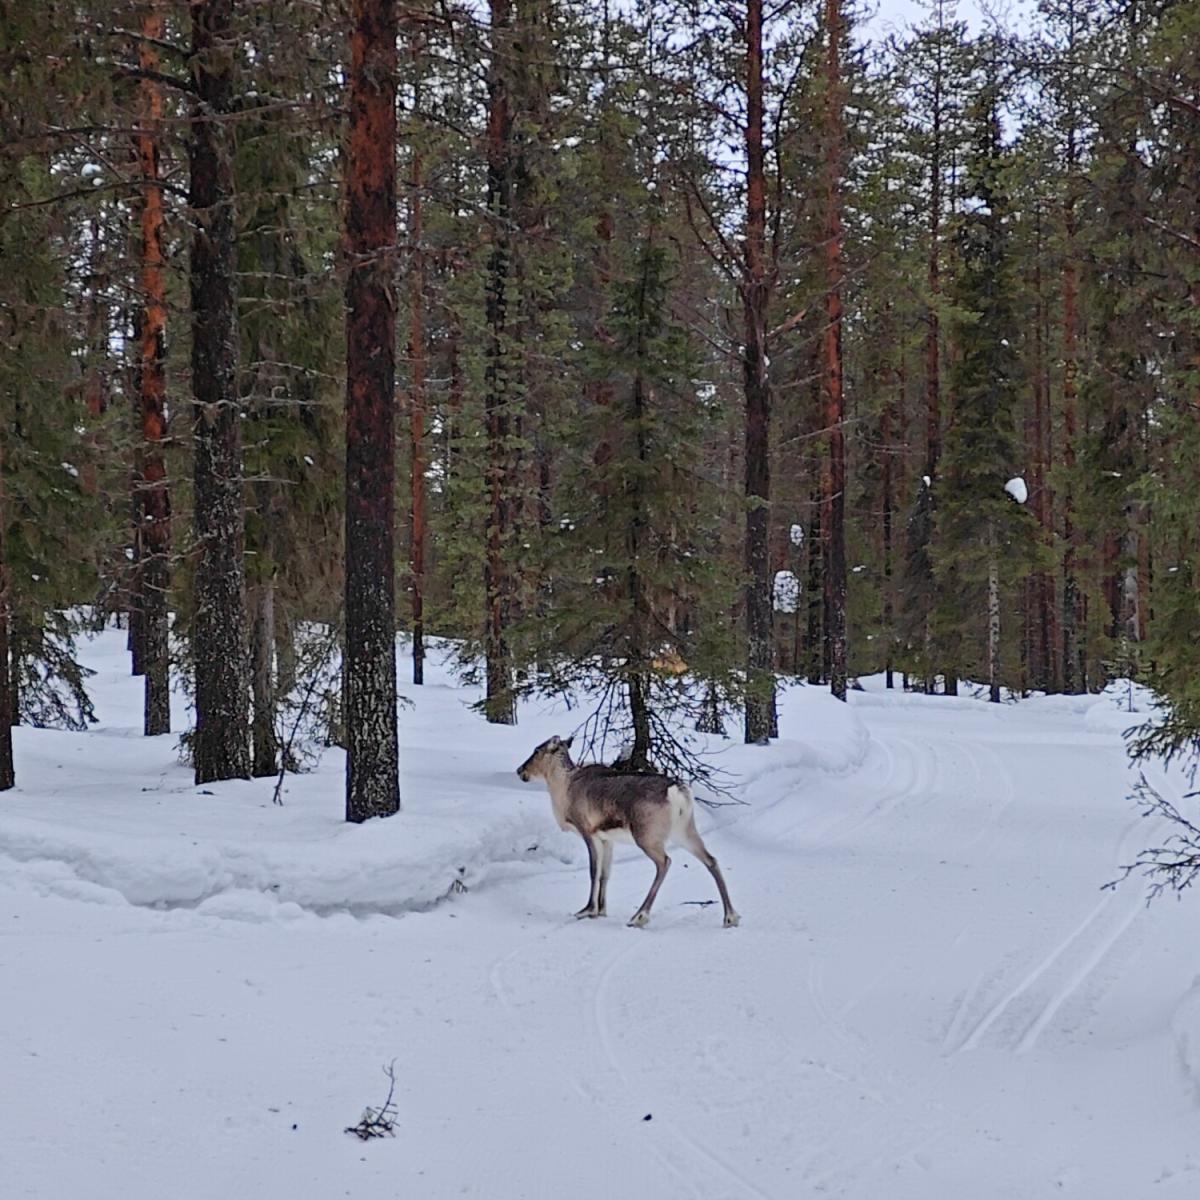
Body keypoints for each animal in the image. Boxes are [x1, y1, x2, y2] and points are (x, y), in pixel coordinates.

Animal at [516, 735, 740, 928]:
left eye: (537, 750)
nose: (519, 770)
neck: (563, 789)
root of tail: (677, 791)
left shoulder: (588, 832)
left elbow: (593, 872)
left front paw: (587, 910)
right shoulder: (607, 839)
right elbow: (605, 874)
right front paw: (601, 910)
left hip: (647, 836)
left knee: (665, 862)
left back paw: (639, 916)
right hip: (684, 830)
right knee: (711, 859)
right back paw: (730, 917)